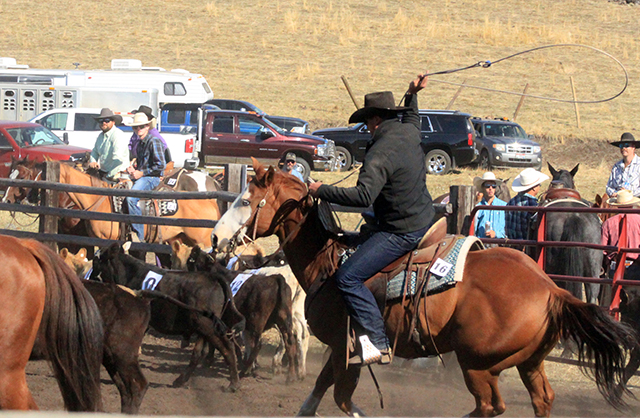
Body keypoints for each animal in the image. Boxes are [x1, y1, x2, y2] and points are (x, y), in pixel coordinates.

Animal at [90, 242, 246, 392]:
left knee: (227, 347)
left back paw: (233, 384)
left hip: (207, 326)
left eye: (96, 261)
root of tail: (213, 277)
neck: (129, 273)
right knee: (198, 353)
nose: (90, 278)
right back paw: (180, 380)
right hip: (204, 327)